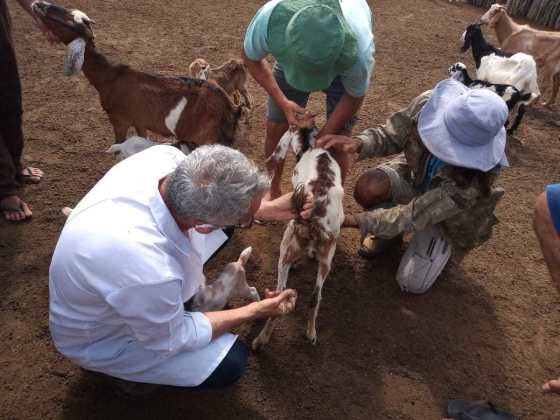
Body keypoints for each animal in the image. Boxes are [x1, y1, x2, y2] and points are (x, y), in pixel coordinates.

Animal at [32, 1, 245, 146]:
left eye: (70, 22)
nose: (38, 3)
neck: (109, 77)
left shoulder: (119, 119)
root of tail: (232, 110)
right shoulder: (140, 121)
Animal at [252, 127, 344, 348]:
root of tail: (313, 221)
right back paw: (310, 334)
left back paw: (261, 340)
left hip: (287, 249)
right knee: (314, 297)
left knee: (282, 297)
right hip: (326, 259)